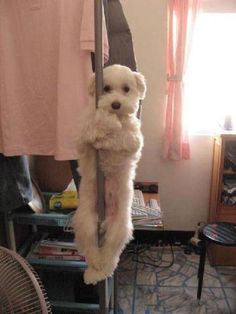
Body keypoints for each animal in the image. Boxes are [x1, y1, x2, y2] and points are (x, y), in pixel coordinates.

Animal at [72, 63, 146, 284]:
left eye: (126, 89)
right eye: (105, 88)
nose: (115, 104)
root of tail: (104, 221)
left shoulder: (133, 139)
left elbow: (121, 136)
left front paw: (108, 135)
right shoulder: (82, 139)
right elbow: (92, 130)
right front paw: (104, 124)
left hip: (120, 227)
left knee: (111, 254)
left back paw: (102, 268)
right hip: (85, 222)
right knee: (90, 248)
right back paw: (92, 271)